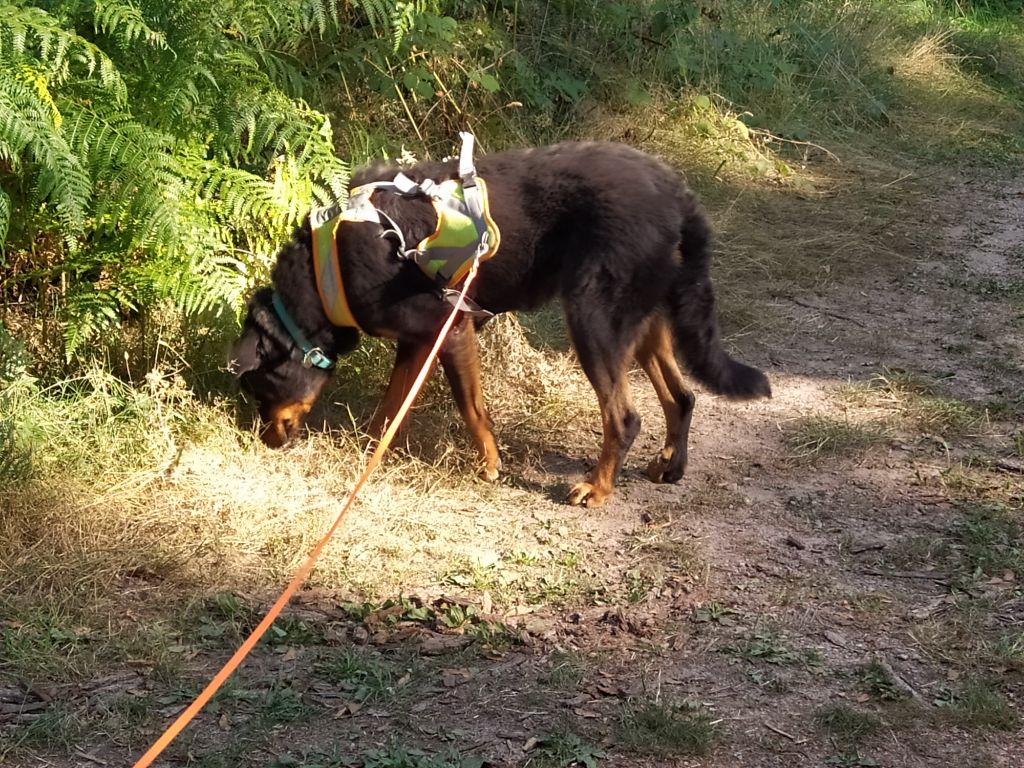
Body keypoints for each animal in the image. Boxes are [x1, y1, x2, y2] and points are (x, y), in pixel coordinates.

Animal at [230, 141, 770, 507]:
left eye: (260, 388)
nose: (265, 441)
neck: (329, 271)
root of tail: (676, 194)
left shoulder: (451, 331)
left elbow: (473, 410)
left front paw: (488, 465)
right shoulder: (417, 343)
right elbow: (389, 410)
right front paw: (371, 452)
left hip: (593, 320)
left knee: (624, 417)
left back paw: (597, 488)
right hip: (642, 324)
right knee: (682, 397)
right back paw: (669, 466)